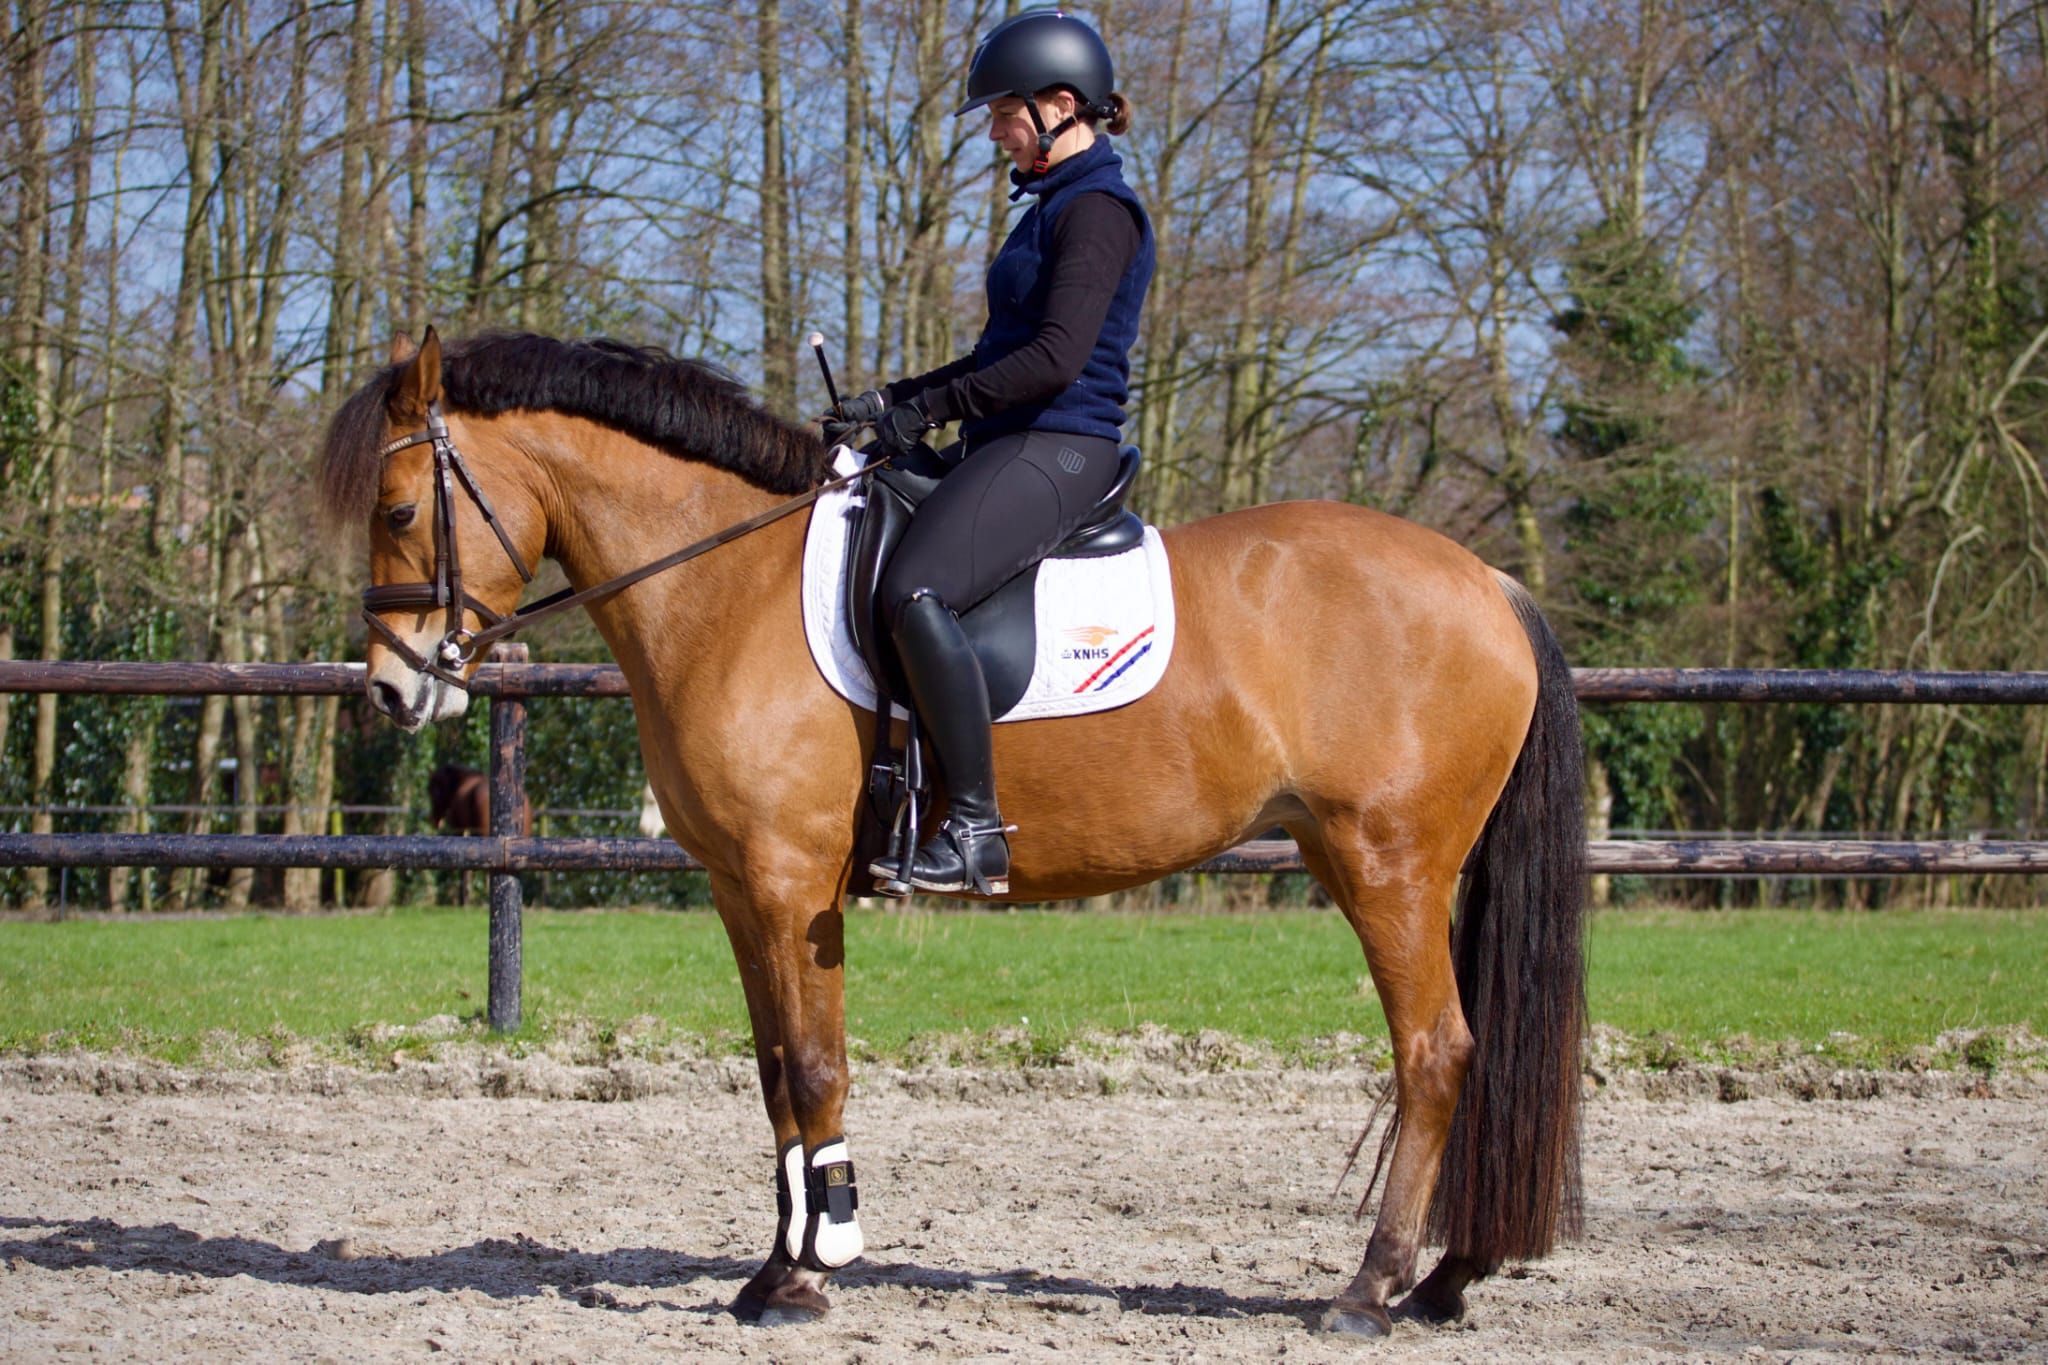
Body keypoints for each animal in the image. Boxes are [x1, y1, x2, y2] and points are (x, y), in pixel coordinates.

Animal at [319, 328, 1585, 1338]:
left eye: (398, 511)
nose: (390, 690)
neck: (727, 583)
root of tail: (1486, 580)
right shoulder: (738, 889)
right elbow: (775, 1077)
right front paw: (773, 1268)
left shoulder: (791, 884)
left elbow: (815, 1065)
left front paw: (811, 1272)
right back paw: (1447, 1278)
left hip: (1389, 867)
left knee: (1434, 1053)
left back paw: (1369, 1291)